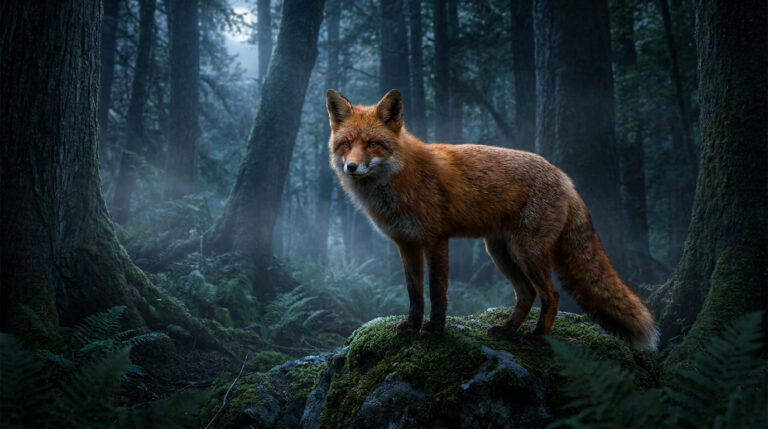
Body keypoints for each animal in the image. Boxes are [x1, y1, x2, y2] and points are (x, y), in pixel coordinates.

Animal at [325, 89, 659, 351]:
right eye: (346, 144)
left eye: (373, 144)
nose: (352, 167)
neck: (398, 182)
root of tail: (565, 178)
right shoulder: (406, 244)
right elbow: (415, 294)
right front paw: (411, 327)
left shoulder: (436, 240)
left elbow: (437, 292)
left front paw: (434, 331)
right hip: (500, 251)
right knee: (526, 294)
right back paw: (508, 330)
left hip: (527, 252)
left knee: (550, 294)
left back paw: (537, 336)